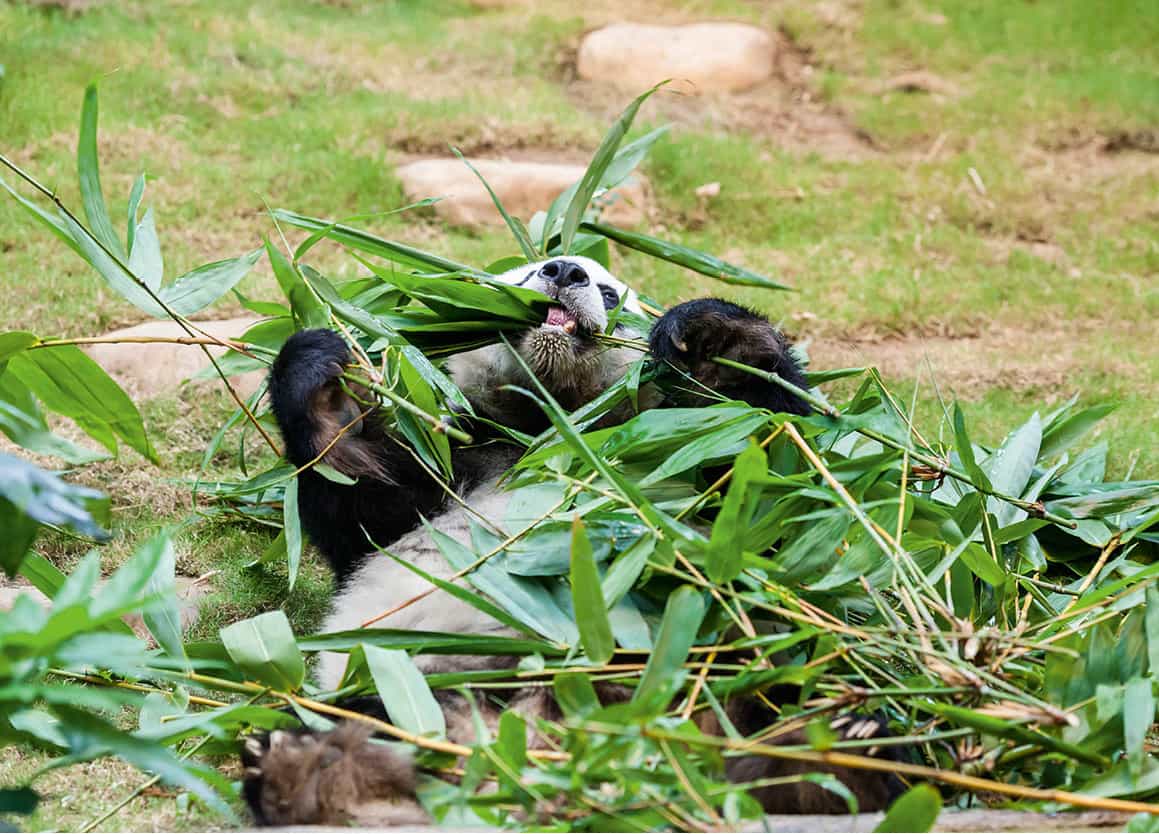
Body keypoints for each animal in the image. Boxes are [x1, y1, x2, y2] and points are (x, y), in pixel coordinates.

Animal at [239, 255, 899, 829]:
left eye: (608, 292)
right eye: (523, 274)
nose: (564, 272)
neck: (553, 425)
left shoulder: (673, 459)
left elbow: (779, 466)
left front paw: (710, 335)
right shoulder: (447, 464)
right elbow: (356, 503)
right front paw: (327, 374)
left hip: (721, 666)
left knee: (782, 708)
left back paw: (846, 753)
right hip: (406, 682)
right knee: (380, 730)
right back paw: (313, 773)